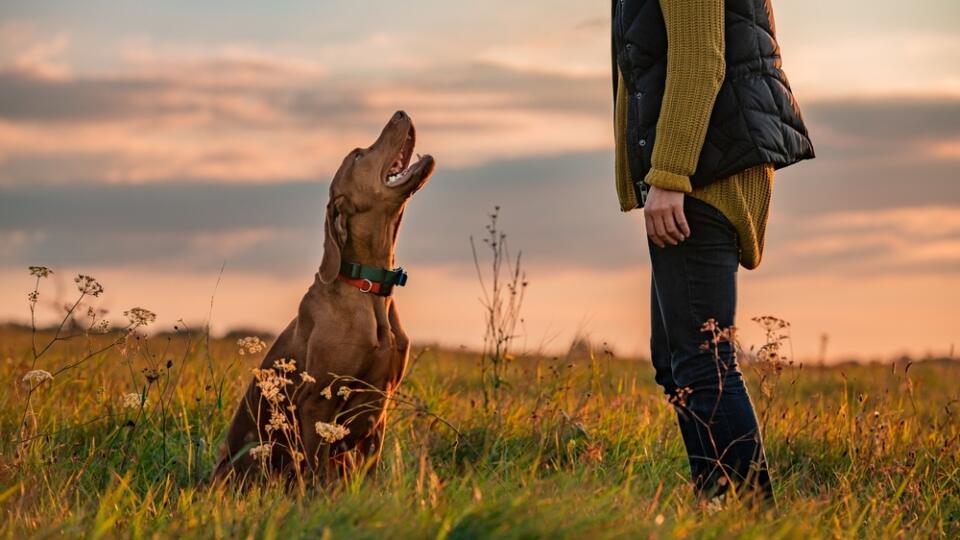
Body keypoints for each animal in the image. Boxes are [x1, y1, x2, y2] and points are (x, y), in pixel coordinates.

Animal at [214, 112, 436, 484]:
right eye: (359, 155)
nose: (401, 112)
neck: (368, 287)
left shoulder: (379, 406)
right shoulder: (317, 402)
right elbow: (315, 474)